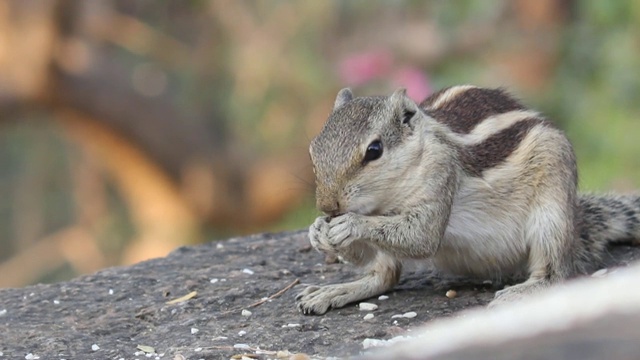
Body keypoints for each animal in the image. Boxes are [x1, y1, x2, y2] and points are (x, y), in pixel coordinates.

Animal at [298, 85, 640, 316]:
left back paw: (522, 292)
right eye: (313, 149)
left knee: (556, 274)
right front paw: (317, 231)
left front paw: (351, 225)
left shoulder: (440, 175)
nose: (328, 206)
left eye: (374, 150)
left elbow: (422, 237)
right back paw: (334, 291)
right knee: (384, 276)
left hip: (552, 213)